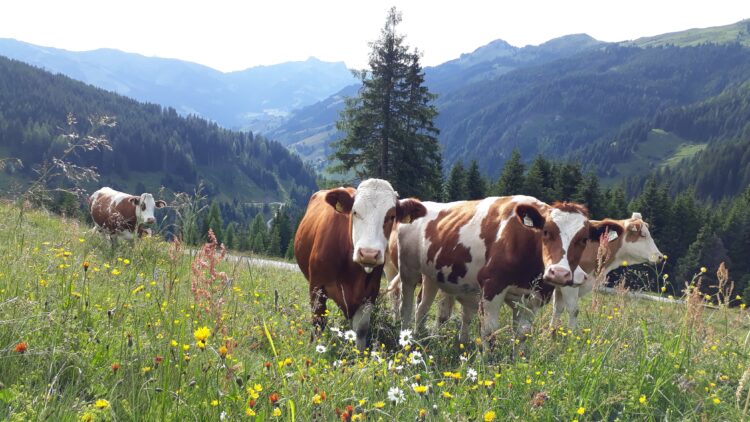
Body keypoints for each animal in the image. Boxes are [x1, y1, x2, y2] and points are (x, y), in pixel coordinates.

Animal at [296, 178, 428, 350]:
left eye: (391, 216)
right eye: (355, 212)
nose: (369, 253)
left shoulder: (369, 294)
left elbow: (361, 329)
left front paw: (358, 352)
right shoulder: (317, 286)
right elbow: (318, 321)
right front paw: (315, 348)